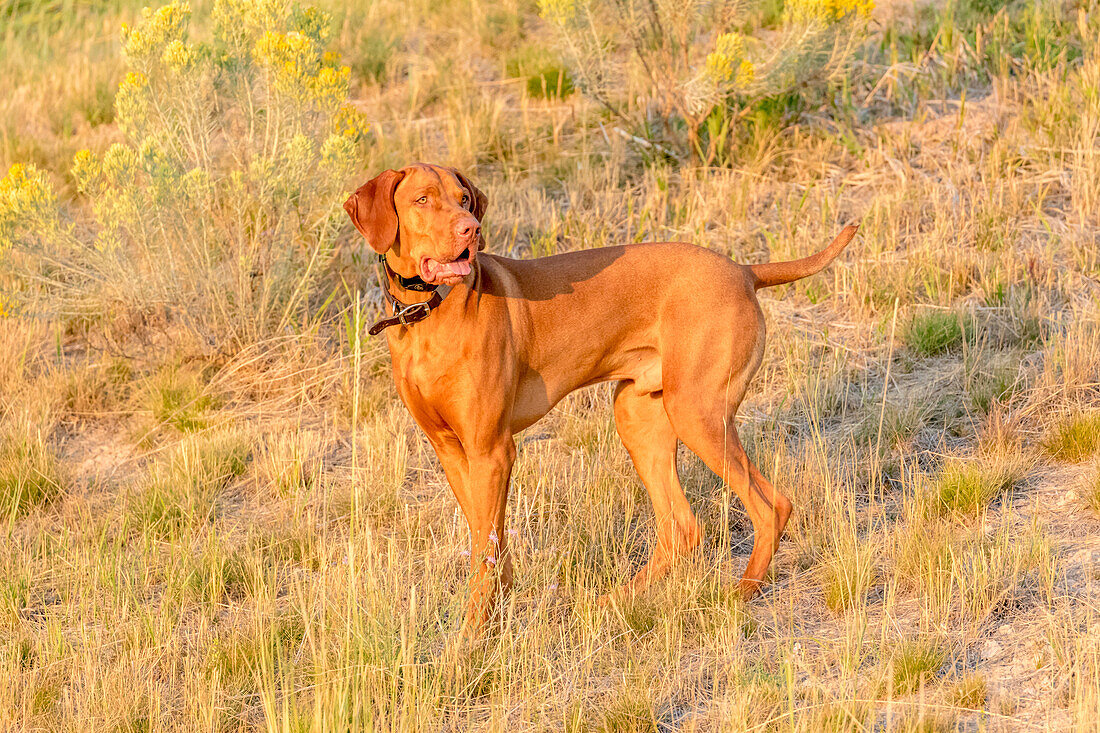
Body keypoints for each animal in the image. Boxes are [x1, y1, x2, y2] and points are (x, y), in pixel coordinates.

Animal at [345, 161, 858, 633]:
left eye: (464, 199)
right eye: (423, 200)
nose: (470, 229)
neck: (427, 316)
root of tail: (744, 270)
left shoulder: (491, 449)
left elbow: (485, 547)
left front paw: (473, 636)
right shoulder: (451, 450)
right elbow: (485, 538)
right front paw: (496, 613)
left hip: (697, 414)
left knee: (771, 506)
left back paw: (740, 594)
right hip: (638, 418)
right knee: (682, 526)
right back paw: (612, 603)